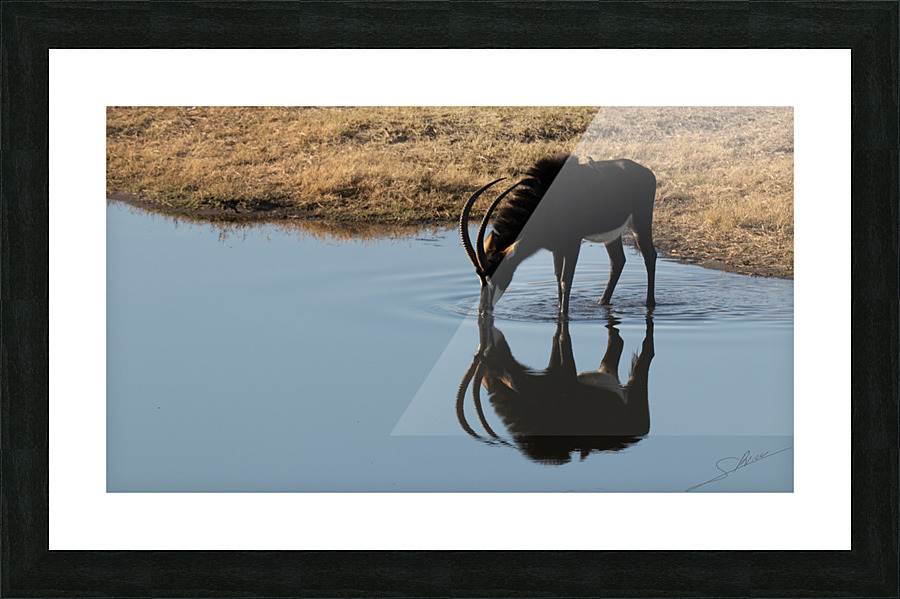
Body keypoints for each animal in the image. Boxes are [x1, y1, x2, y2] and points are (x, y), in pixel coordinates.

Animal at [456, 314, 655, 464]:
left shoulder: (566, 373)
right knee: (618, 342)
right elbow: (557, 339)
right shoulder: (555, 368)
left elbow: (562, 338)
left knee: (646, 352)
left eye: (492, 362)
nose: (494, 335)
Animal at [460, 154, 657, 315]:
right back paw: (602, 303)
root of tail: (648, 173)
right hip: (612, 235)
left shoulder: (573, 243)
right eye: (480, 277)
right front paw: (559, 310)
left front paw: (564, 315)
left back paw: (650, 304)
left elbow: (565, 280)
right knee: (617, 261)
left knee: (650, 256)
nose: (483, 309)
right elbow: (556, 277)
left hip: (640, 222)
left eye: (495, 274)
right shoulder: (556, 247)